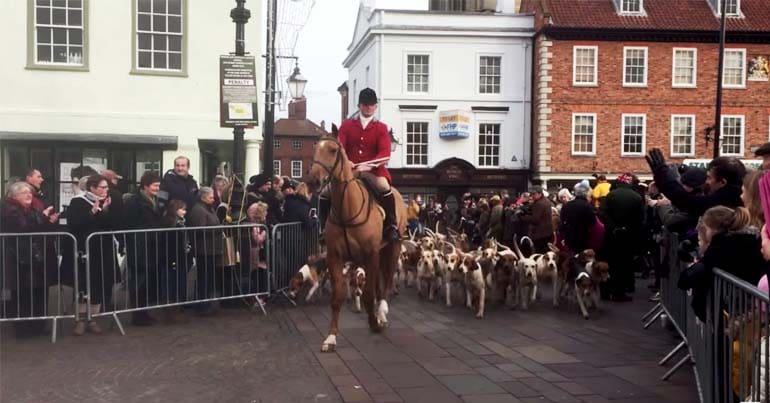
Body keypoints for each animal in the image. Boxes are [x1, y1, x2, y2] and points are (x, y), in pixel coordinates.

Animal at [308, 131, 404, 352]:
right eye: (315, 147)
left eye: (333, 150)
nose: (314, 181)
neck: (347, 208)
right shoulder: (335, 256)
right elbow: (337, 297)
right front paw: (331, 337)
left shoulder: (371, 254)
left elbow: (368, 294)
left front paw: (374, 323)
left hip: (392, 248)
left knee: (386, 280)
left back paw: (382, 312)